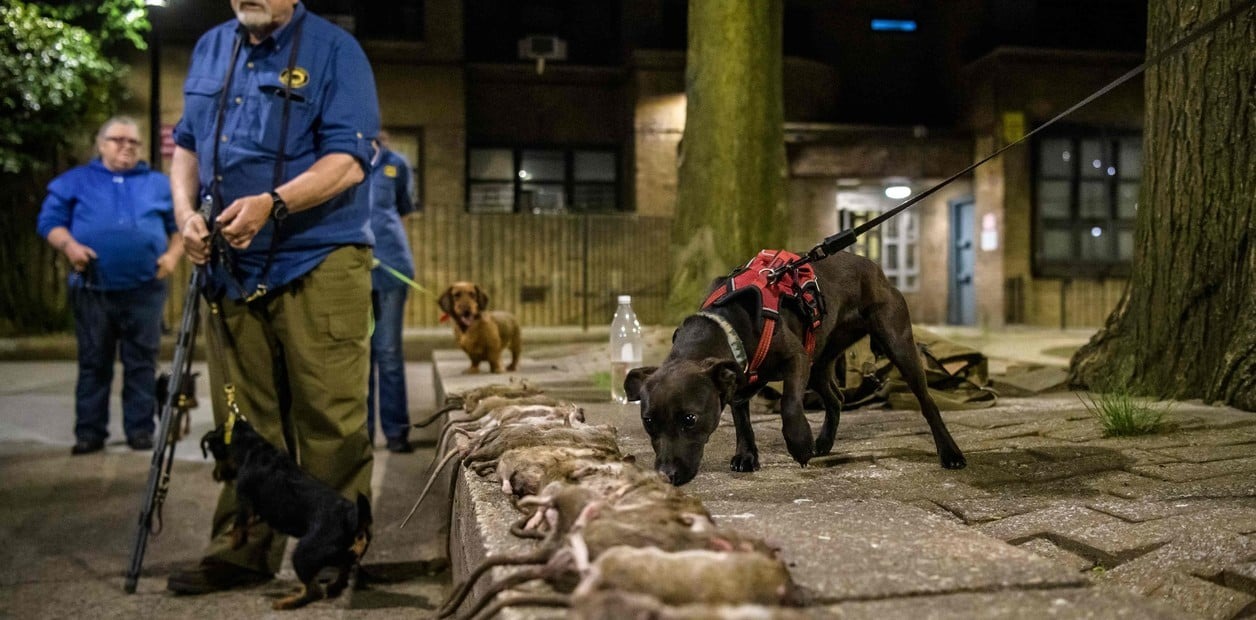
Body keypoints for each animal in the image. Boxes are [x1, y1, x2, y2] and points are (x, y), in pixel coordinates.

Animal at [200, 419, 371, 607]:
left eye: (214, 453)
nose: (215, 475)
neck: (254, 446)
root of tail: (354, 520)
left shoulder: (245, 499)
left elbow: (240, 522)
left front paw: (236, 541)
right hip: (338, 554)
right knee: (344, 568)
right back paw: (333, 587)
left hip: (303, 554)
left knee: (314, 591)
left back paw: (287, 602)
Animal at [622, 249, 964, 486]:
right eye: (648, 421)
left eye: (690, 419)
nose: (665, 476)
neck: (727, 324)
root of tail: (874, 267)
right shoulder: (738, 382)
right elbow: (743, 423)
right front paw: (746, 456)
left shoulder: (795, 359)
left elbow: (788, 403)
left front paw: (799, 443)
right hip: (819, 362)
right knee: (836, 399)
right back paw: (823, 442)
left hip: (897, 345)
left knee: (927, 402)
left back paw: (950, 453)